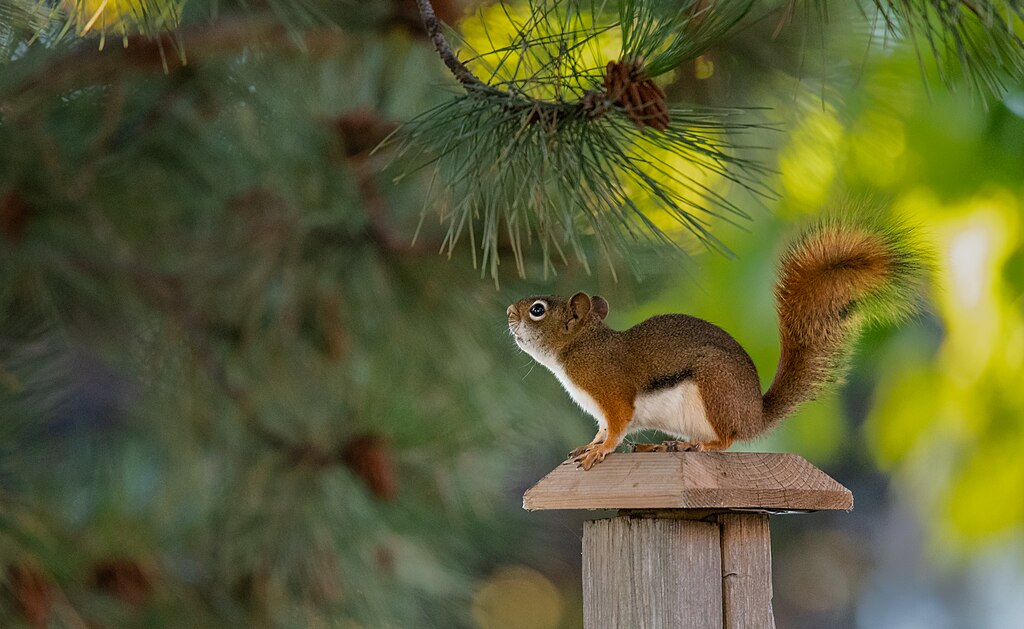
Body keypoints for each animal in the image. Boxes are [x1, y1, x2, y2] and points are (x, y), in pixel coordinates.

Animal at [507, 217, 929, 470]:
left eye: (538, 310)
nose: (509, 311)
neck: (577, 348)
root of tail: (754, 415)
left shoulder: (611, 392)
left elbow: (616, 427)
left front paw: (600, 451)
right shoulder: (599, 408)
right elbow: (600, 428)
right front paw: (587, 445)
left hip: (715, 387)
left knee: (726, 440)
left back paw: (698, 448)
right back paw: (666, 447)